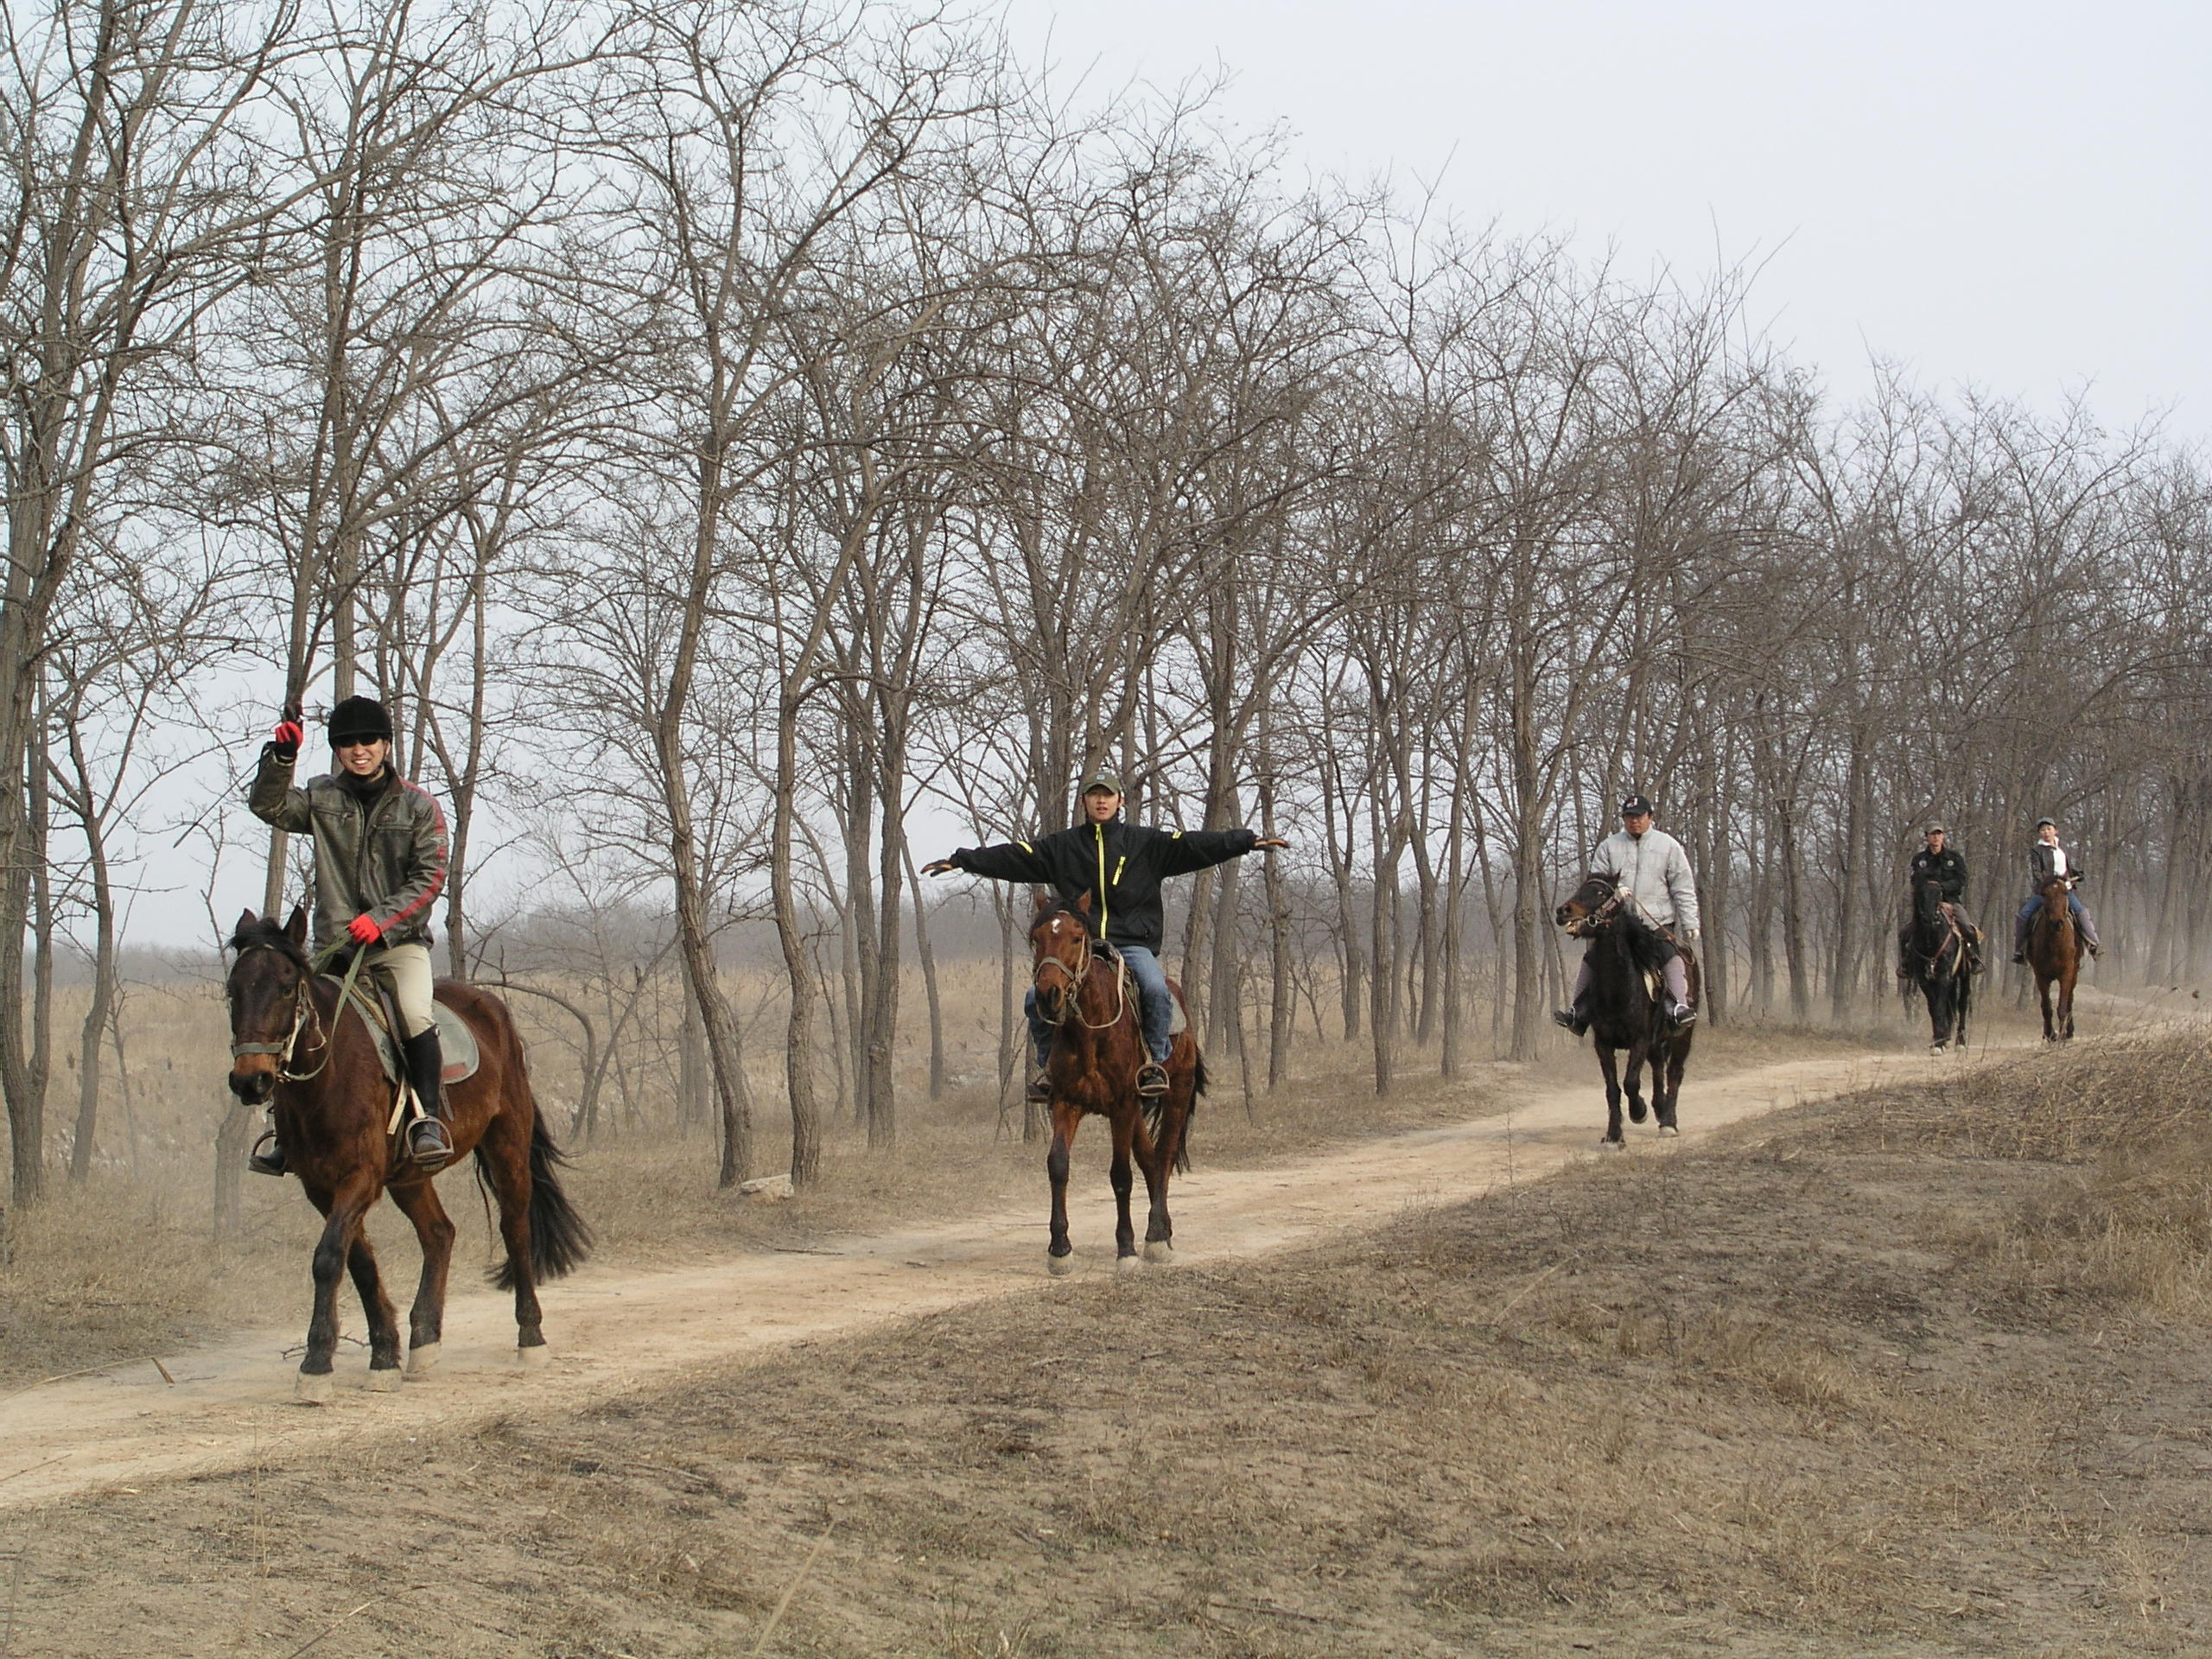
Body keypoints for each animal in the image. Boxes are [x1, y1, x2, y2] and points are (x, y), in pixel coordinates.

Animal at [219, 911, 593, 1407]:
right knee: (438, 1234)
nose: (250, 1080)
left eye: (284, 986)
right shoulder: (321, 1186)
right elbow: (358, 1264)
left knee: (515, 1229)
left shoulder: (360, 1178)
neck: (329, 1075)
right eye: (233, 990)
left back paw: (531, 1338)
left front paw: (316, 1365)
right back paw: (424, 1340)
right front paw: (384, 1356)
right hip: (411, 1178)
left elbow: (328, 1258)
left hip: (507, 1146)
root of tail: (493, 1010)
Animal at [1026, 898, 1203, 1274]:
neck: (1089, 1030)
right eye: (1036, 938)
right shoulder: (1066, 1103)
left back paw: (1155, 1237)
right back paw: (1162, 1231)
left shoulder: (1122, 1105)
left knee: (1164, 1156)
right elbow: (1058, 1166)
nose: (1049, 995)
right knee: (1150, 1159)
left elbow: (1121, 1175)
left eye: (1077, 937)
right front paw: (1059, 1250)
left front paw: (1127, 1249)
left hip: (1176, 1095)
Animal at [1548, 875, 1699, 1150]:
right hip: (1655, 1042)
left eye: (1600, 893)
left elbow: (1631, 1082)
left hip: (1683, 1034)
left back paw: (1668, 1122)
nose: (1563, 911)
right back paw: (1659, 1107)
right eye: (1581, 887)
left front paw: (1638, 1112)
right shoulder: (1603, 1044)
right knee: (1658, 1067)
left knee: (1674, 1072)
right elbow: (1613, 1089)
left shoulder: (1640, 1040)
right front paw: (1613, 1136)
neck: (1620, 990)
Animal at [1893, 885, 1981, 1052]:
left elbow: (1940, 1005)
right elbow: (1934, 1007)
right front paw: (1939, 1040)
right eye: (1920, 893)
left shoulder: (1943, 975)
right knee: (1950, 1004)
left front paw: (1940, 1042)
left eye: (1939, 893)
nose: (1930, 918)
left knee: (1962, 1004)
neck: (1931, 940)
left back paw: (1960, 1042)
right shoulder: (1924, 979)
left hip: (1964, 975)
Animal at [2025, 875, 2079, 1044]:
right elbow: (2046, 1008)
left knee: (2069, 1001)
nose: (2057, 922)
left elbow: (2062, 1007)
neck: (2055, 944)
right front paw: (2050, 1035)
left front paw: (2061, 1037)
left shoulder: (2066, 973)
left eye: (2065, 893)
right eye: (2044, 894)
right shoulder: (2041, 975)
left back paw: (2069, 1032)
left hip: (2074, 972)